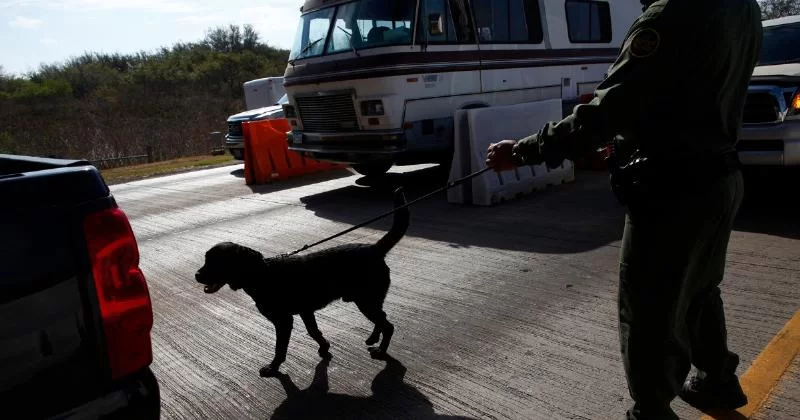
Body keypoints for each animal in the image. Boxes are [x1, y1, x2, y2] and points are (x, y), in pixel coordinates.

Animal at [193, 187, 406, 378]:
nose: (196, 275)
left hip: (366, 300)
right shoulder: (306, 311)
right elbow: (314, 331)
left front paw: (273, 368)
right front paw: (324, 346)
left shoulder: (284, 321)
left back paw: (381, 351)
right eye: (206, 259)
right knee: (382, 318)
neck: (261, 274)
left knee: (388, 324)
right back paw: (373, 338)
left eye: (216, 262)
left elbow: (280, 348)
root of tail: (376, 249)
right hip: (367, 300)